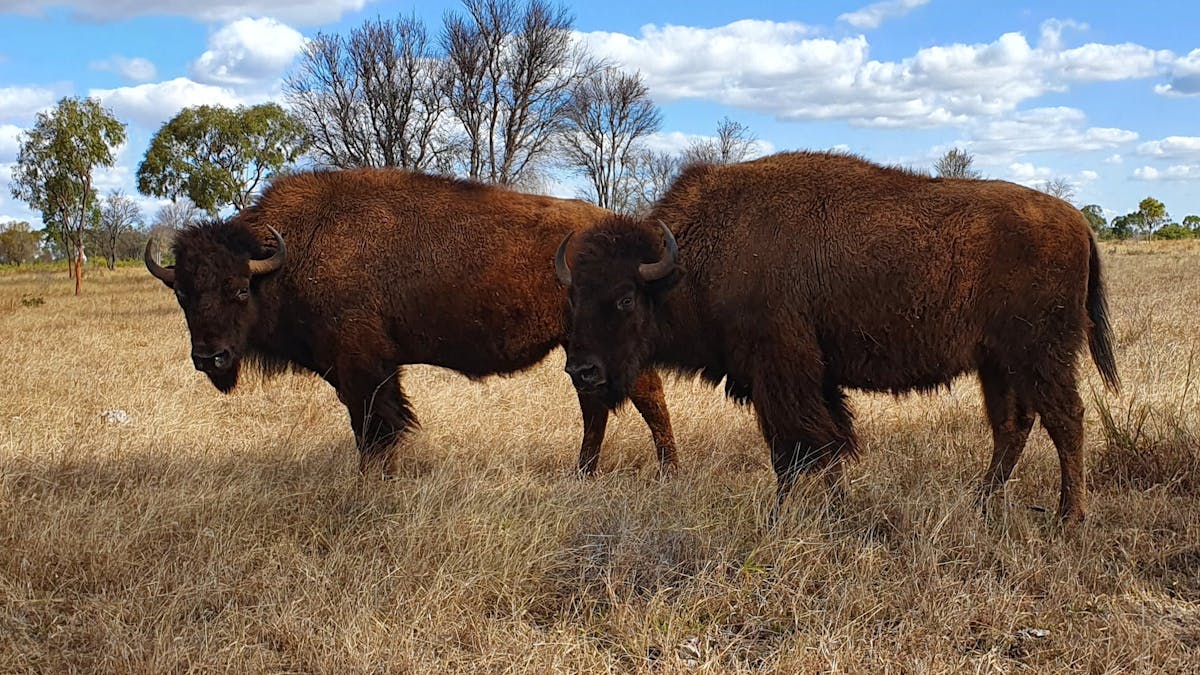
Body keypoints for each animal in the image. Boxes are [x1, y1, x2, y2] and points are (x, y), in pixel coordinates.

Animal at [146, 168, 678, 476]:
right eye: (183, 295)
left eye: (238, 289)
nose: (209, 357)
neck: (291, 254)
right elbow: (372, 428)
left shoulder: (363, 368)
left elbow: (374, 428)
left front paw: (372, 482)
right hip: (581, 351)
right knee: (595, 406)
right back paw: (584, 473)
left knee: (645, 394)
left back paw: (667, 472)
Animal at [556, 151, 1119, 522]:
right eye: (574, 297)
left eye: (625, 298)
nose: (581, 370)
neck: (687, 263)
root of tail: (1076, 220)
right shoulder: (804, 380)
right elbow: (813, 446)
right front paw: (818, 510)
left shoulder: (781, 375)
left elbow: (804, 446)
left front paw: (803, 514)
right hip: (998, 363)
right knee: (1012, 426)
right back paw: (981, 505)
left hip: (1041, 354)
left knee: (1065, 419)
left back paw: (1069, 518)